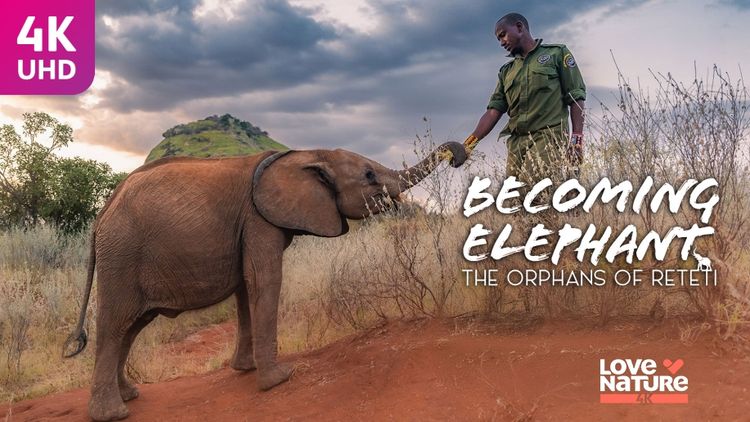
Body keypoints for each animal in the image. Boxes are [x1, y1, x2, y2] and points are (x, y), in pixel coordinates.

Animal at [63, 142, 466, 421]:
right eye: (368, 176)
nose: (458, 156)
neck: (308, 153)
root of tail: (101, 216)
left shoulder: (249, 226)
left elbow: (247, 287)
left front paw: (246, 370)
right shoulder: (259, 219)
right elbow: (265, 280)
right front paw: (279, 379)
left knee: (131, 327)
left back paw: (130, 395)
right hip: (122, 254)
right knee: (116, 324)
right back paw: (113, 414)